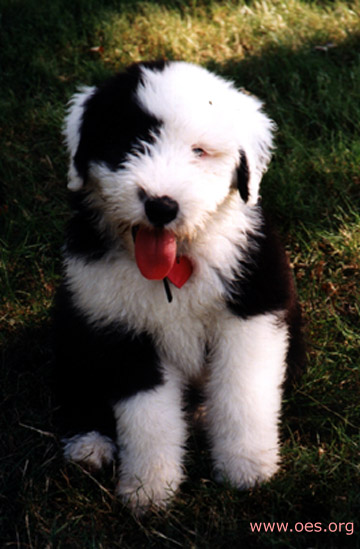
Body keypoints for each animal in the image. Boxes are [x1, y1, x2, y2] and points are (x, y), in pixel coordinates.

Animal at [53, 62, 302, 512]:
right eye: (130, 143)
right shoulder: (121, 328)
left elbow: (243, 392)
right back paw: (88, 444)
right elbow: (147, 416)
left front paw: (247, 469)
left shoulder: (252, 309)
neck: (176, 265)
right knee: (72, 381)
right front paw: (149, 490)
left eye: (199, 151)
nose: (161, 206)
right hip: (72, 315)